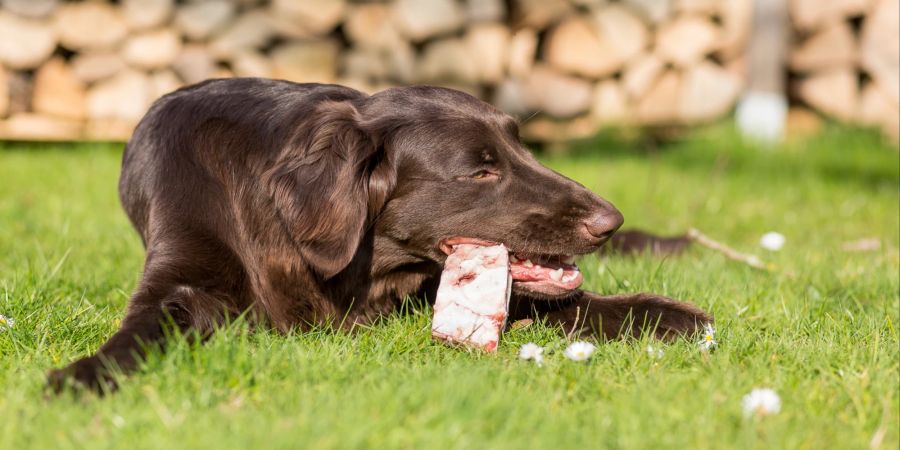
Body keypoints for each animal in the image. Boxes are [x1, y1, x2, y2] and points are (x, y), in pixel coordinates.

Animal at [47, 79, 712, 392]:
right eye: (481, 170)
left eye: (522, 148)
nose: (609, 221)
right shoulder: (182, 273)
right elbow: (146, 327)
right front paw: (83, 376)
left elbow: (564, 304)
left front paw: (665, 314)